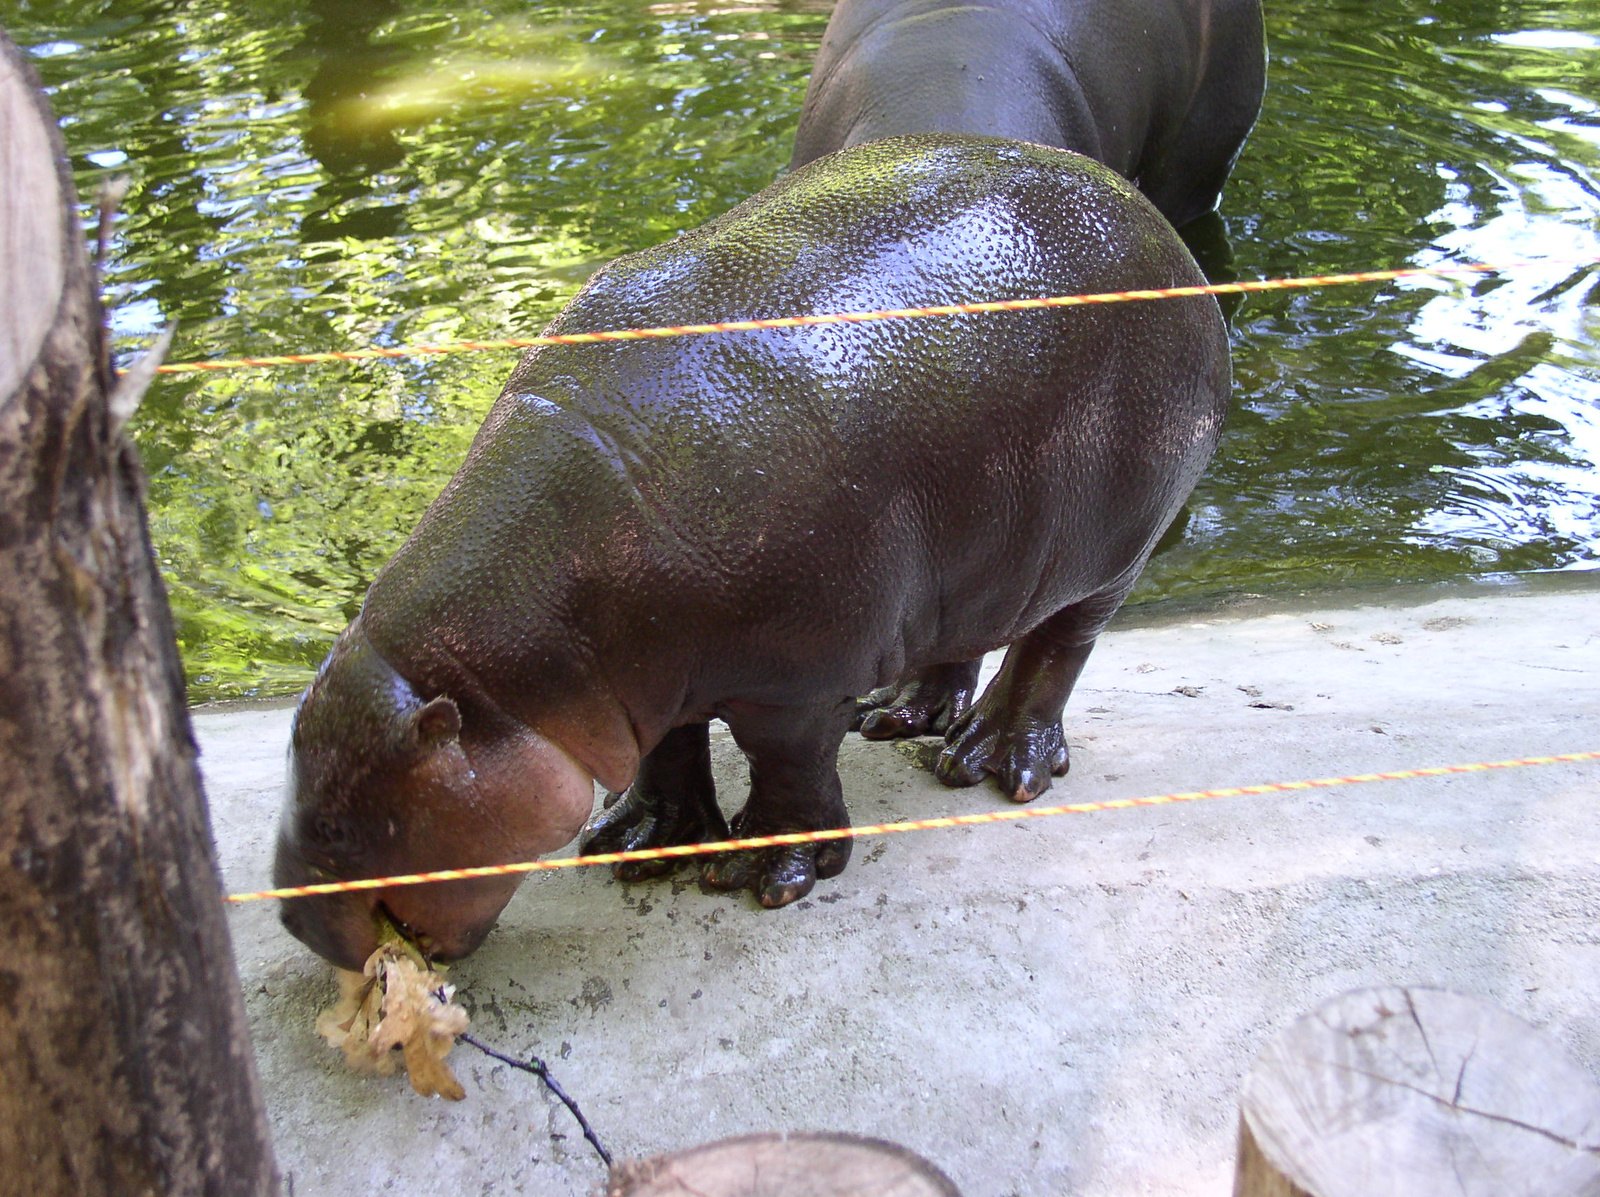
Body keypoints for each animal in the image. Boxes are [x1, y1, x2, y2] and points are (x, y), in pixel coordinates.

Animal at [275, 135, 1228, 966]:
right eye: (298, 765)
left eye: (338, 825)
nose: (290, 923)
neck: (497, 677)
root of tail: (1170, 239)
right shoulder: (644, 681)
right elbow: (668, 749)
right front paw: (635, 841)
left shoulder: (794, 687)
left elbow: (789, 771)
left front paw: (758, 872)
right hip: (978, 553)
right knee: (964, 639)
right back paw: (900, 717)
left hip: (1111, 554)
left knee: (1054, 651)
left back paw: (986, 764)